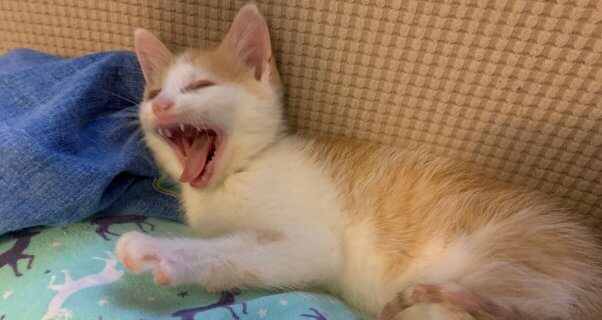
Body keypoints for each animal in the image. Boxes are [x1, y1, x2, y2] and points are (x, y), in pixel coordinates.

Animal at [115, 3, 596, 318]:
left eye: (200, 86)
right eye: (154, 93)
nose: (160, 107)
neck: (237, 173)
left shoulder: (312, 243)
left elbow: (238, 252)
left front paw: (164, 254)